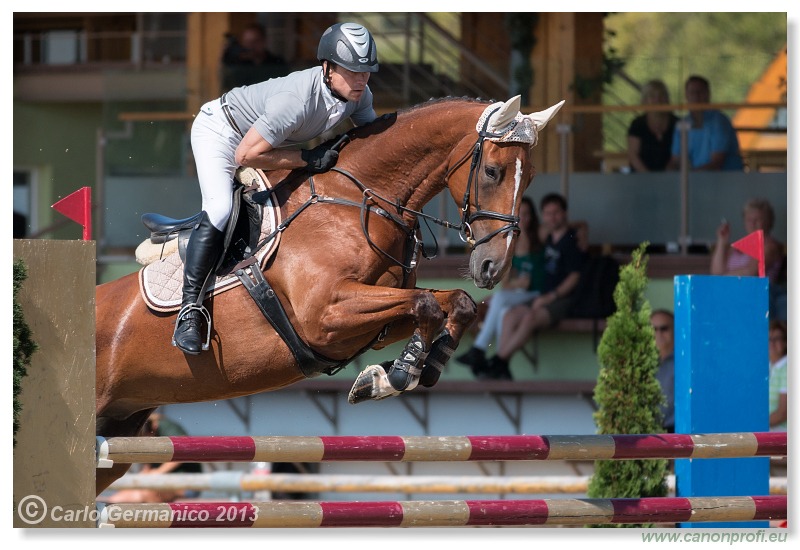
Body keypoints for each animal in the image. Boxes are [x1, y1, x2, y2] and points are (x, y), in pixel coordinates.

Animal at [95, 96, 564, 496]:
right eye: (492, 172)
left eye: (531, 177)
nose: (493, 267)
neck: (358, 199)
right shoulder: (324, 316)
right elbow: (427, 304)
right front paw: (396, 375)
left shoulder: (375, 317)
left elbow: (452, 304)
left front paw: (405, 370)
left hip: (120, 430)